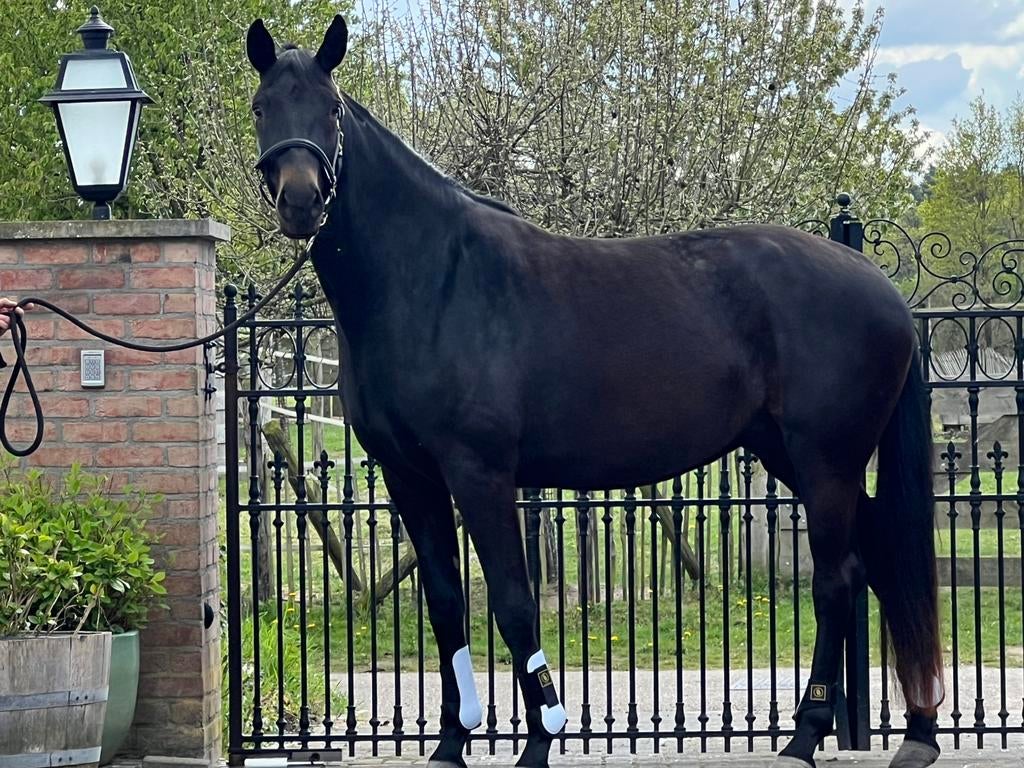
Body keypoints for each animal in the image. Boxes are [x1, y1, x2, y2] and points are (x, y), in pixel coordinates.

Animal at [245, 15, 943, 768]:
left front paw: (539, 741)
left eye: (331, 109)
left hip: (826, 464)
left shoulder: (480, 474)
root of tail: (881, 289)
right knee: (881, 559)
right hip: (792, 455)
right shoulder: (412, 478)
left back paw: (807, 735)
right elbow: (446, 604)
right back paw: (916, 733)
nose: (301, 200)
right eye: (261, 108)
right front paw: (452, 742)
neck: (433, 278)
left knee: (837, 579)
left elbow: (514, 604)